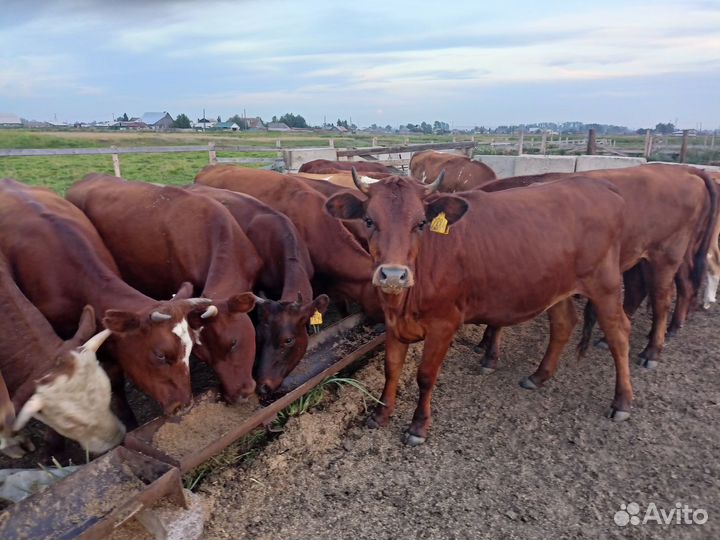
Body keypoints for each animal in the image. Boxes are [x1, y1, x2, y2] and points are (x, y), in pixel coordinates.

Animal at [325, 170, 631, 445]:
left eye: (421, 223)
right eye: (369, 220)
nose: (392, 275)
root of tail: (600, 185)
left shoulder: (444, 324)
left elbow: (425, 376)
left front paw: (418, 427)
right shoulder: (393, 323)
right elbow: (391, 368)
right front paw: (380, 415)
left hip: (605, 285)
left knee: (618, 334)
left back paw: (622, 402)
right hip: (555, 287)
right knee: (564, 323)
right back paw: (538, 376)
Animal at [478, 164, 718, 370]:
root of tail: (685, 170)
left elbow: (499, 322)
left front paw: (490, 354)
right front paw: (484, 343)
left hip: (665, 256)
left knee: (663, 300)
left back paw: (653, 350)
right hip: (646, 258)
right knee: (656, 288)